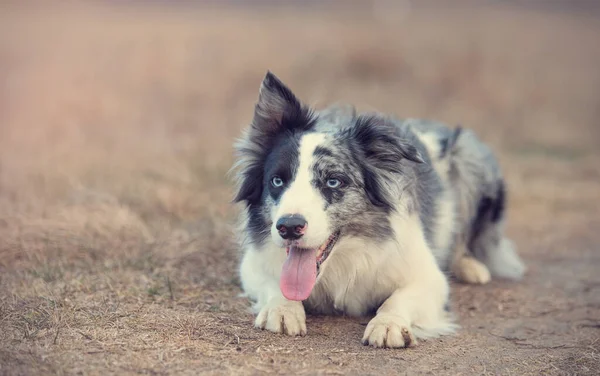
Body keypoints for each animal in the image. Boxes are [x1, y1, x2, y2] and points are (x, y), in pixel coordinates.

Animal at [231, 72, 524, 348]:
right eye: (277, 181)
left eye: (333, 181)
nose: (289, 227)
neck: (343, 261)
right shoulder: (252, 265)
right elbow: (273, 283)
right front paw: (282, 309)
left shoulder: (428, 277)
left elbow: (398, 299)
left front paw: (388, 324)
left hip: (469, 156)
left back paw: (470, 266)